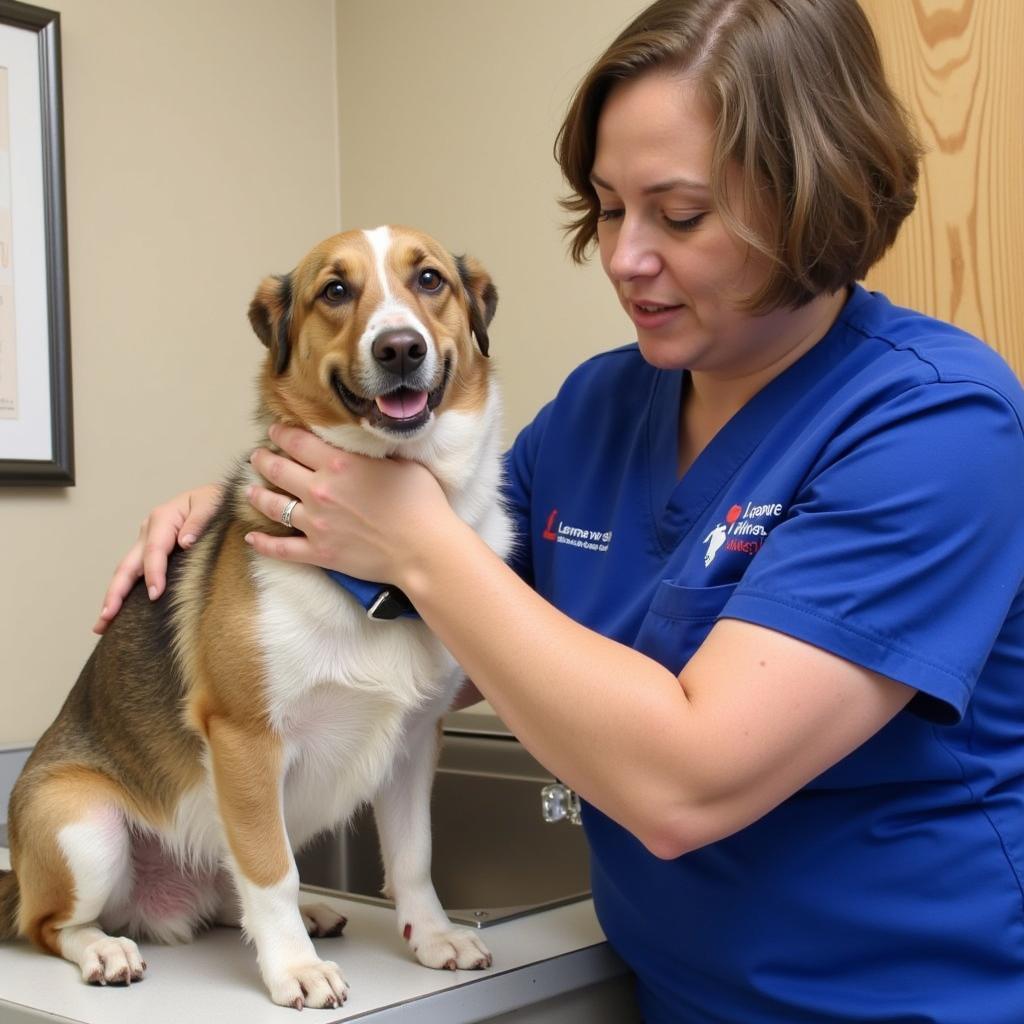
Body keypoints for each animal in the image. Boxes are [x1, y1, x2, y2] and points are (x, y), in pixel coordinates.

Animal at [0, 226, 512, 1007]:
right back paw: (105, 950)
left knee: (227, 895)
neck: (380, 574)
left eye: (429, 280)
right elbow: (273, 873)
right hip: (83, 827)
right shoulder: (244, 740)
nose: (399, 348)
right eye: (335, 290)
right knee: (52, 925)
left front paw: (430, 935)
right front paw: (294, 967)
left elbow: (413, 858)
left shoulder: (413, 742)